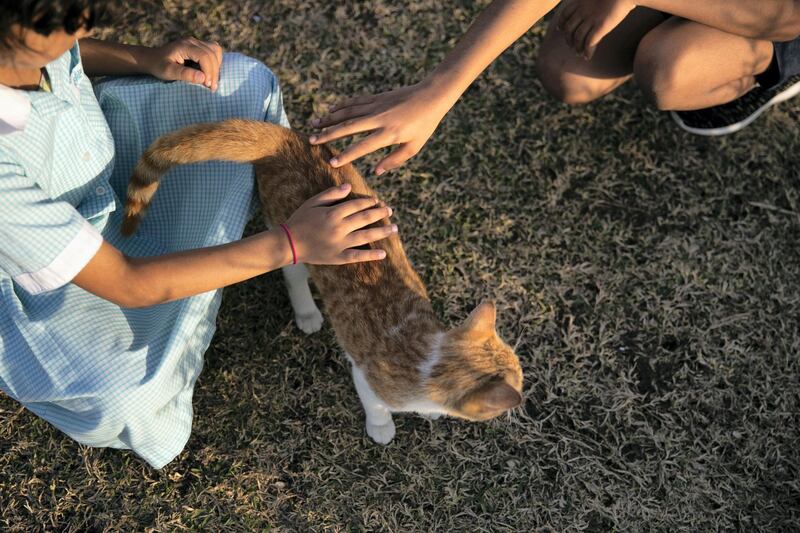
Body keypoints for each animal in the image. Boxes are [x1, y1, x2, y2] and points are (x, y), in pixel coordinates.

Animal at [120, 118, 524, 442]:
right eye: (518, 379)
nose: (523, 388)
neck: (426, 354)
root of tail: (285, 139)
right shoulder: (365, 374)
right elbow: (376, 406)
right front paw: (382, 428)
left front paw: (431, 414)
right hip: (289, 230)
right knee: (294, 273)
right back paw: (308, 314)